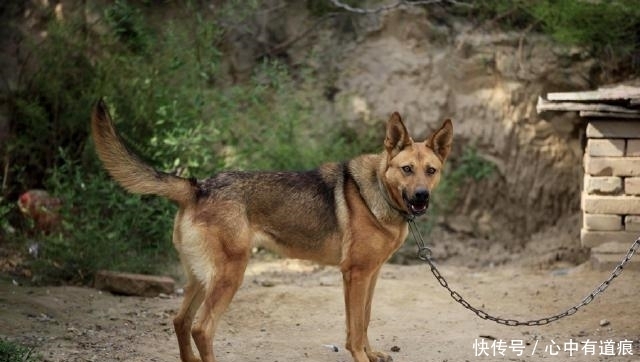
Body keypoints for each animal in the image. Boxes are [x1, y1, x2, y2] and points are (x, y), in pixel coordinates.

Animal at [91, 99, 456, 362]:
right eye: (406, 169)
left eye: (431, 171)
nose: (421, 197)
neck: (379, 190)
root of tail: (198, 187)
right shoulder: (355, 275)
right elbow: (354, 330)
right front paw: (362, 358)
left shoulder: (370, 275)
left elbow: (363, 321)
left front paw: (372, 353)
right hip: (230, 276)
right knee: (202, 328)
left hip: (200, 278)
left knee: (181, 322)